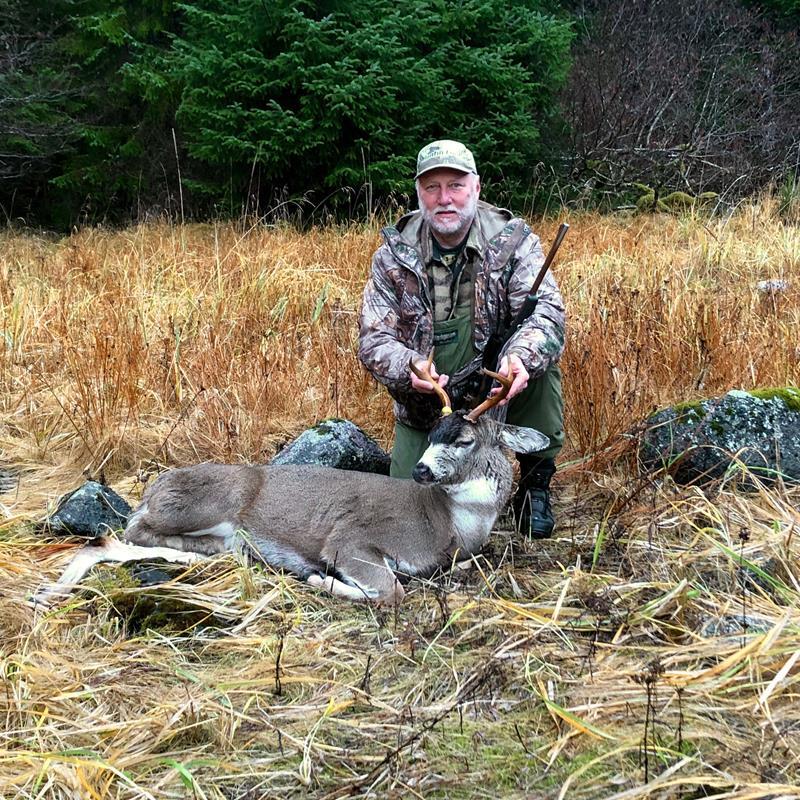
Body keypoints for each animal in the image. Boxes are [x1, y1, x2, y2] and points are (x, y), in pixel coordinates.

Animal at [33, 355, 548, 607]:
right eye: (433, 434)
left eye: (461, 438)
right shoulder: (351, 538)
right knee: (128, 530)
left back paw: (50, 593)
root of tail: (153, 488)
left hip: (212, 539)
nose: (421, 471)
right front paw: (321, 579)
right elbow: (391, 591)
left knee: (110, 543)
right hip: (213, 500)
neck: (449, 524)